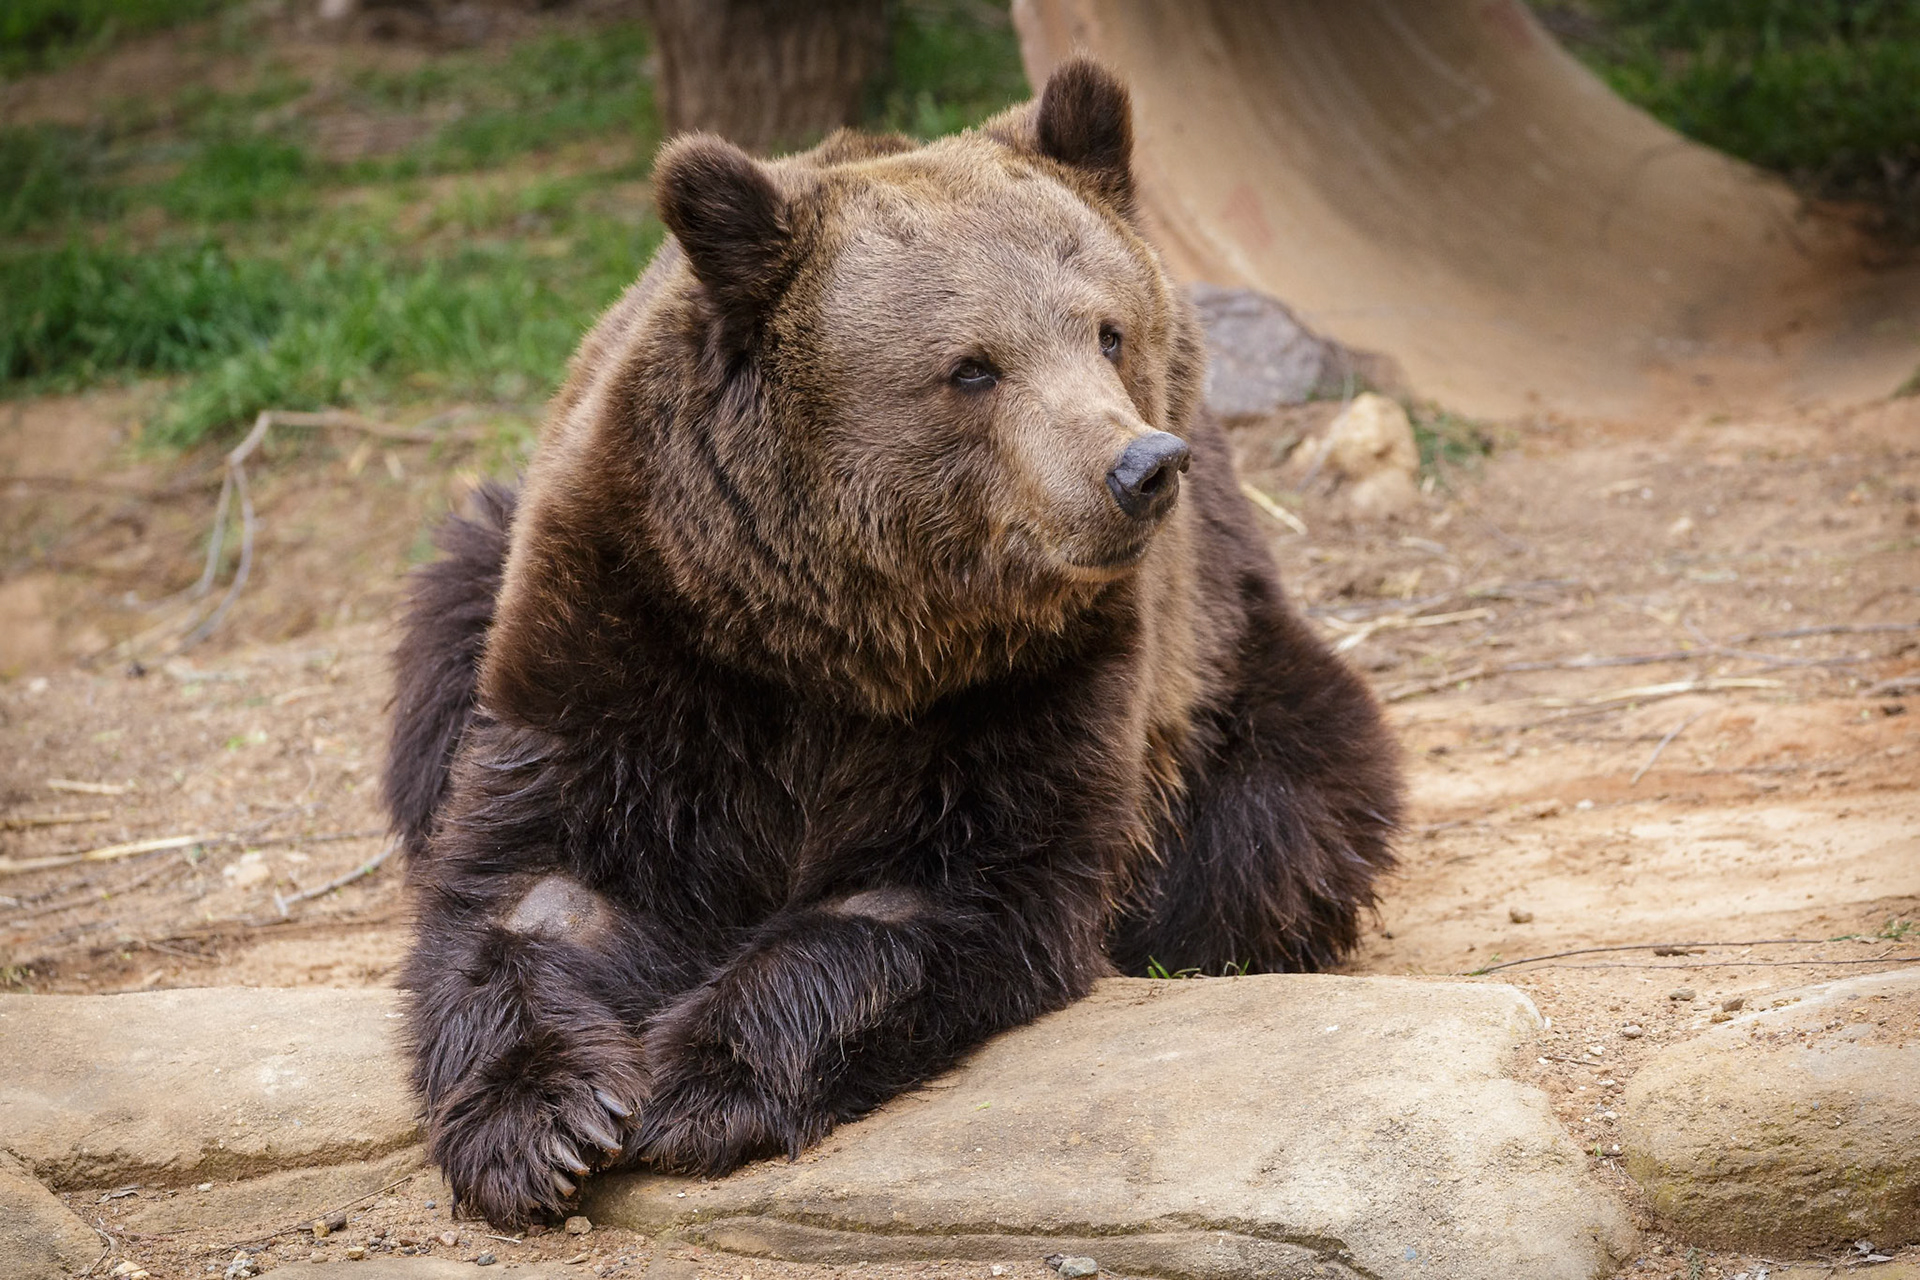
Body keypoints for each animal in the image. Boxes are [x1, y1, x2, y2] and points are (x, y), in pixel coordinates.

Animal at [384, 58, 1401, 1228]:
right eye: (972, 368)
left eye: (1106, 330)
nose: (1141, 467)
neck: (844, 629)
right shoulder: (638, 626)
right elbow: (541, 884)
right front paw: (545, 1122)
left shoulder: (1034, 679)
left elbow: (931, 894)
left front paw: (705, 1079)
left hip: (1228, 667)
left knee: (1276, 824)